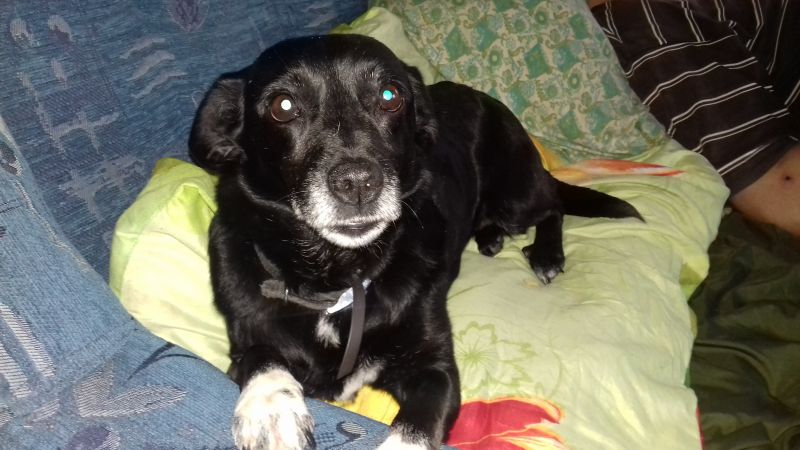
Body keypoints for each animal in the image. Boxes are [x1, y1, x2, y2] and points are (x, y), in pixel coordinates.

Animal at [189, 34, 642, 450]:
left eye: (390, 97)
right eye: (283, 106)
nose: (358, 183)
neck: (337, 275)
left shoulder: (434, 369)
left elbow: (414, 428)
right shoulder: (243, 341)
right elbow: (262, 357)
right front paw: (272, 410)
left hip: (516, 192)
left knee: (553, 207)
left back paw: (546, 254)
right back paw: (490, 237)